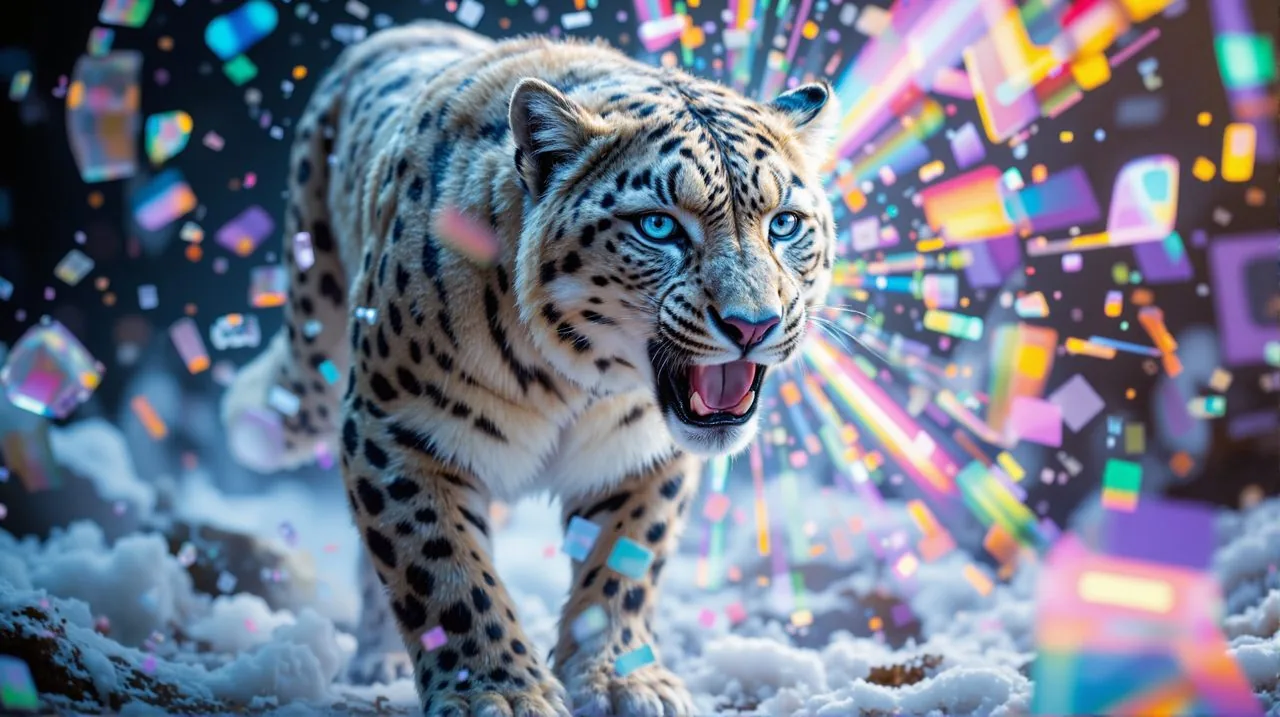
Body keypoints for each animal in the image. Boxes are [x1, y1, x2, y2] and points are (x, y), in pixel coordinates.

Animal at [221, 20, 837, 717]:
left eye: (784, 224)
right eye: (658, 226)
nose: (753, 324)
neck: (571, 382)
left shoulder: (640, 454)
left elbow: (625, 564)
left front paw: (619, 680)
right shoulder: (397, 428)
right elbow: (442, 568)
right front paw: (497, 691)